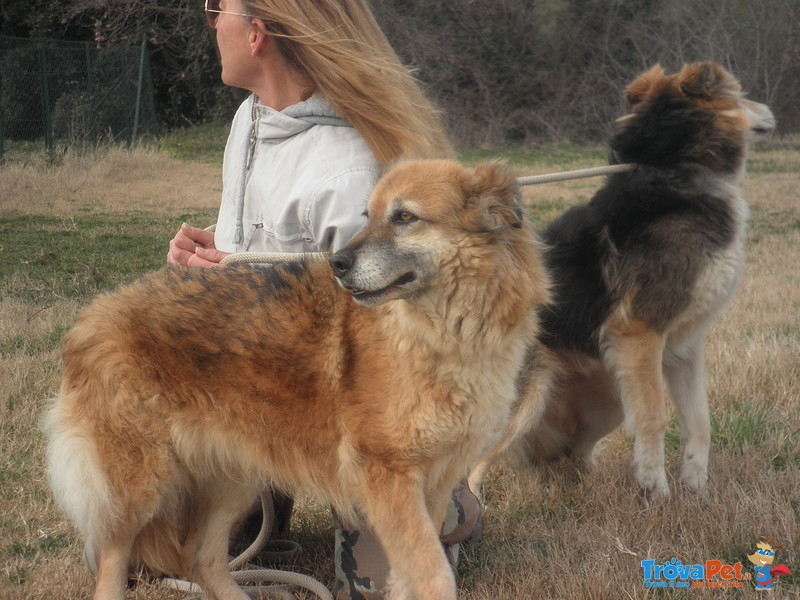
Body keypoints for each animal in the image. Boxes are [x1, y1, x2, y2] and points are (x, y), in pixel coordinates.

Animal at [45, 159, 552, 600]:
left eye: (405, 217)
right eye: (368, 217)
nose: (338, 264)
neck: (441, 335)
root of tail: (93, 316)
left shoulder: (434, 485)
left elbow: (413, 576)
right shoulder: (389, 479)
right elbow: (433, 576)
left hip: (234, 479)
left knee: (200, 558)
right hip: (141, 486)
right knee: (114, 559)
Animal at [468, 61, 776, 500]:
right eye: (743, 96)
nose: (769, 110)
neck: (672, 166)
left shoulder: (684, 345)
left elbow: (699, 420)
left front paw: (696, 489)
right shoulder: (640, 333)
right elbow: (654, 417)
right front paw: (657, 491)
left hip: (608, 395)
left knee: (569, 455)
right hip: (522, 403)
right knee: (471, 463)